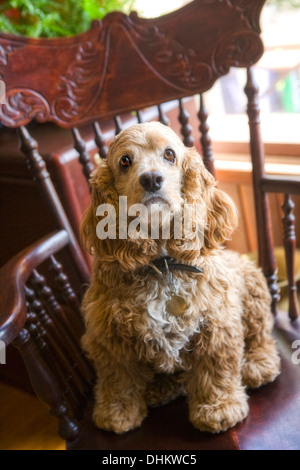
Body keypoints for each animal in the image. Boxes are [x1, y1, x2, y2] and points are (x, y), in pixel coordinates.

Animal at [80, 120, 282, 434]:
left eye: (169, 154)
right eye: (125, 161)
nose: (151, 179)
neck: (163, 265)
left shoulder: (216, 322)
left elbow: (215, 370)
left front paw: (218, 408)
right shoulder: (107, 333)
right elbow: (117, 377)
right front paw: (116, 413)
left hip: (252, 285)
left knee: (259, 334)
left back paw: (257, 365)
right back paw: (159, 389)